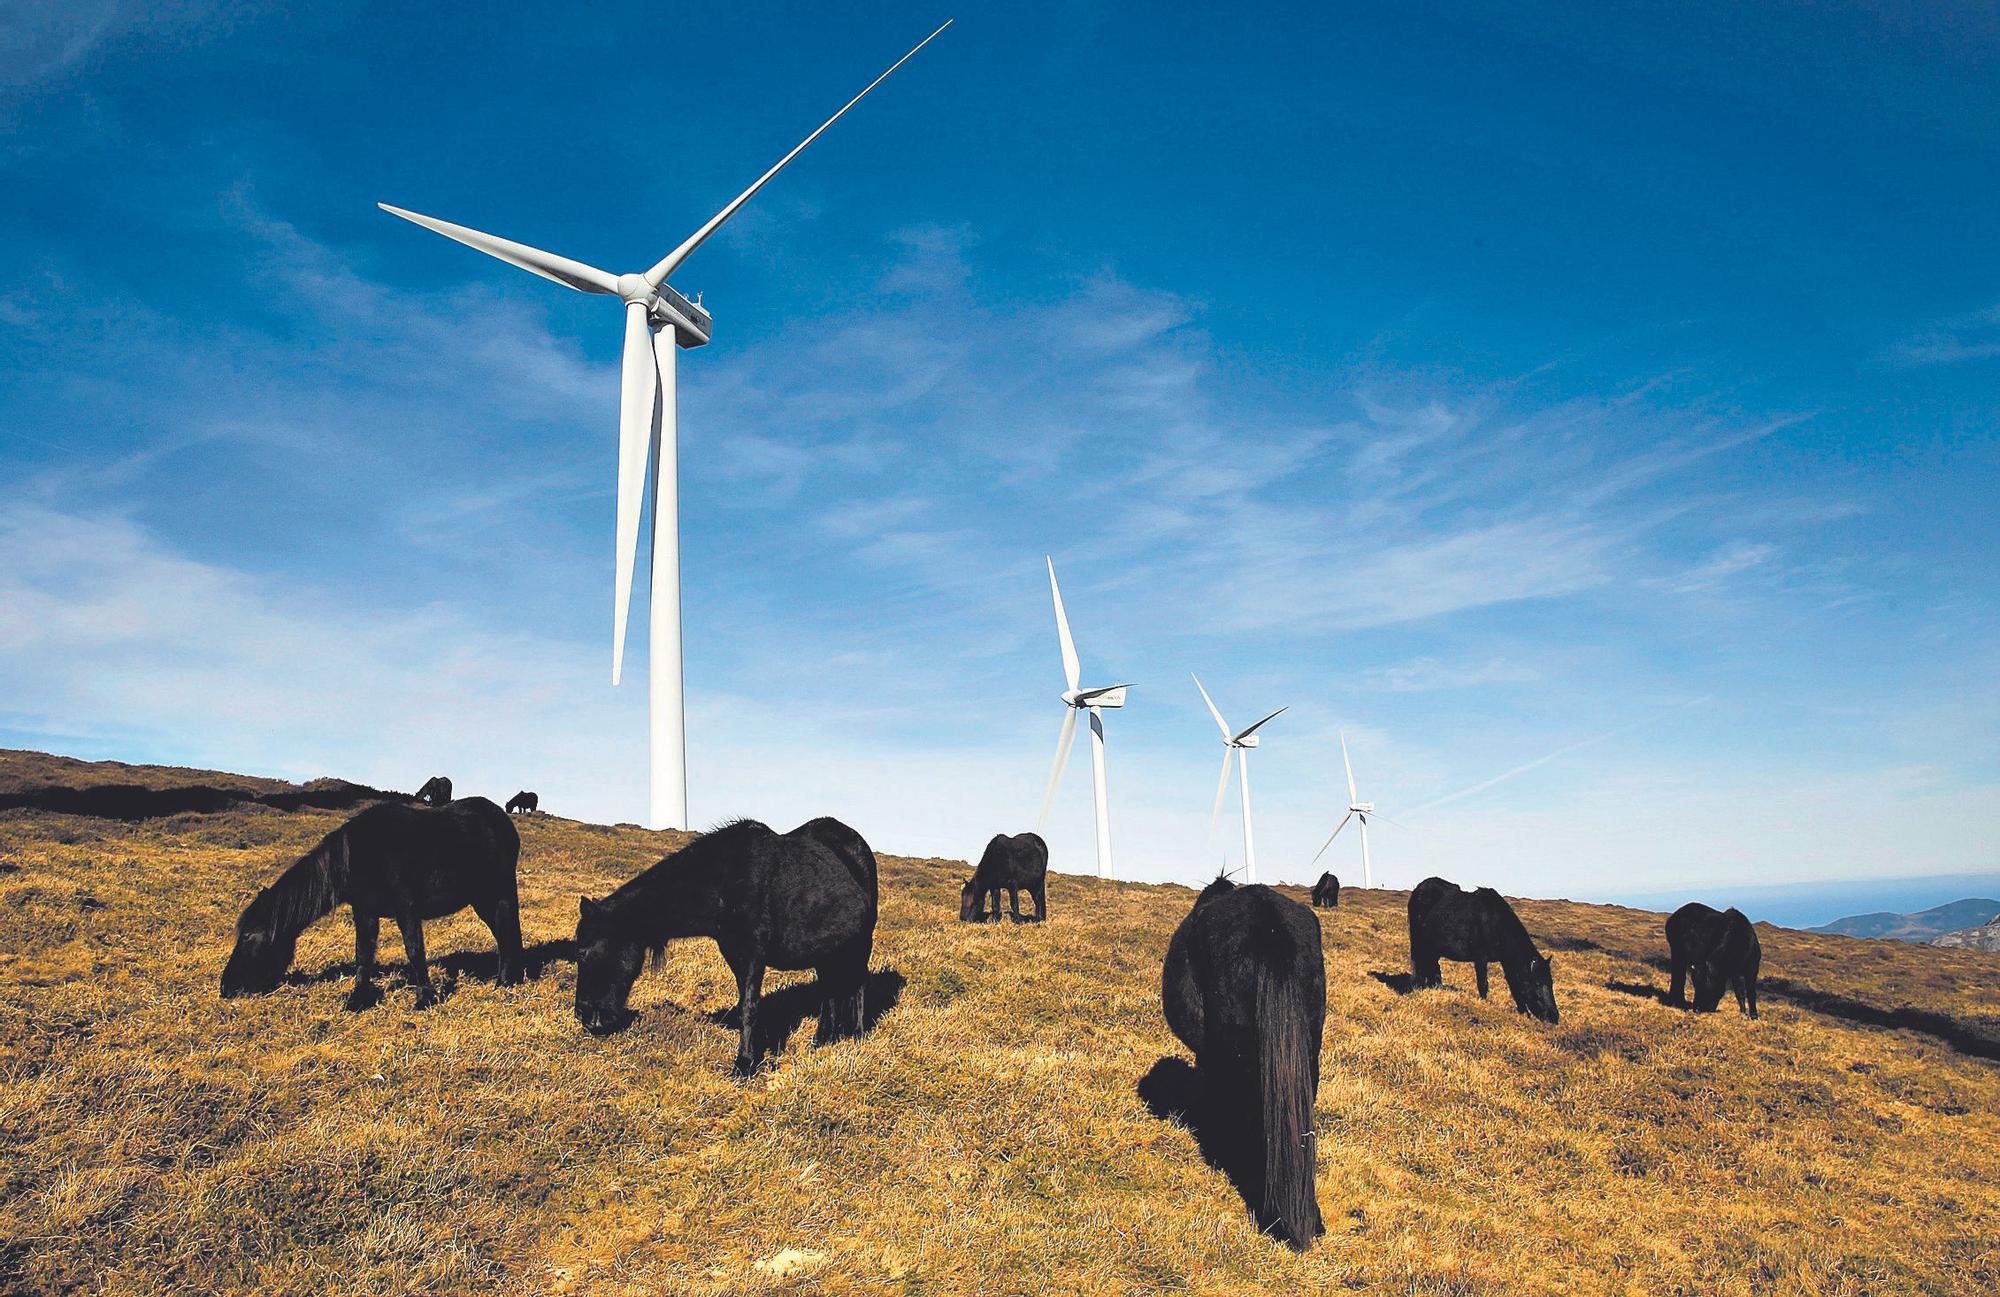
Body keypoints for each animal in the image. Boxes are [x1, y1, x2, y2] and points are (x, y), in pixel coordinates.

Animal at [219, 796, 524, 1008]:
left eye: (247, 936)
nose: (226, 988)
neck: (364, 853)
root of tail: (501, 818)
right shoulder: (365, 910)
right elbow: (363, 952)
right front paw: (358, 999)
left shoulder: (406, 906)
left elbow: (414, 949)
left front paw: (424, 998)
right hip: (482, 898)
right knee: (504, 933)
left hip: (500, 892)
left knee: (507, 931)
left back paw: (504, 982)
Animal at [568, 816, 872, 1080]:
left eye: (582, 953)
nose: (584, 1014)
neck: (725, 880)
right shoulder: (734, 953)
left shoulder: (753, 955)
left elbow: (749, 1007)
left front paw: (745, 1064)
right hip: (827, 950)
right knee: (829, 989)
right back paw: (823, 1038)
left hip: (861, 942)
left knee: (858, 983)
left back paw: (856, 1034)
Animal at [1408, 880, 1560, 1024]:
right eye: (1537, 984)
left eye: (1551, 982)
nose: (1554, 1017)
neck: (1495, 923)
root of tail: (1419, 889)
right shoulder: (1481, 958)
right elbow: (1483, 983)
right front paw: (1485, 1004)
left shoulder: (1507, 961)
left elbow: (1514, 985)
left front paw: (1523, 1012)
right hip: (1418, 941)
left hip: (1433, 947)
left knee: (1433, 966)